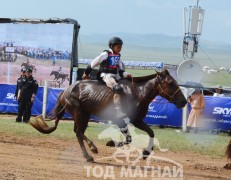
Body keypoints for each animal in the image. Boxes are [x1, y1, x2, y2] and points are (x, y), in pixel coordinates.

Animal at [29, 69, 187, 162]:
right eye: (170, 83)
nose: (184, 101)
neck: (137, 94)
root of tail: (66, 91)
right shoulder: (121, 121)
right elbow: (128, 139)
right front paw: (111, 142)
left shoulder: (137, 121)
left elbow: (151, 132)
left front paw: (146, 152)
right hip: (78, 112)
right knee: (79, 132)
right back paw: (90, 153)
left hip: (85, 114)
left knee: (78, 132)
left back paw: (90, 151)